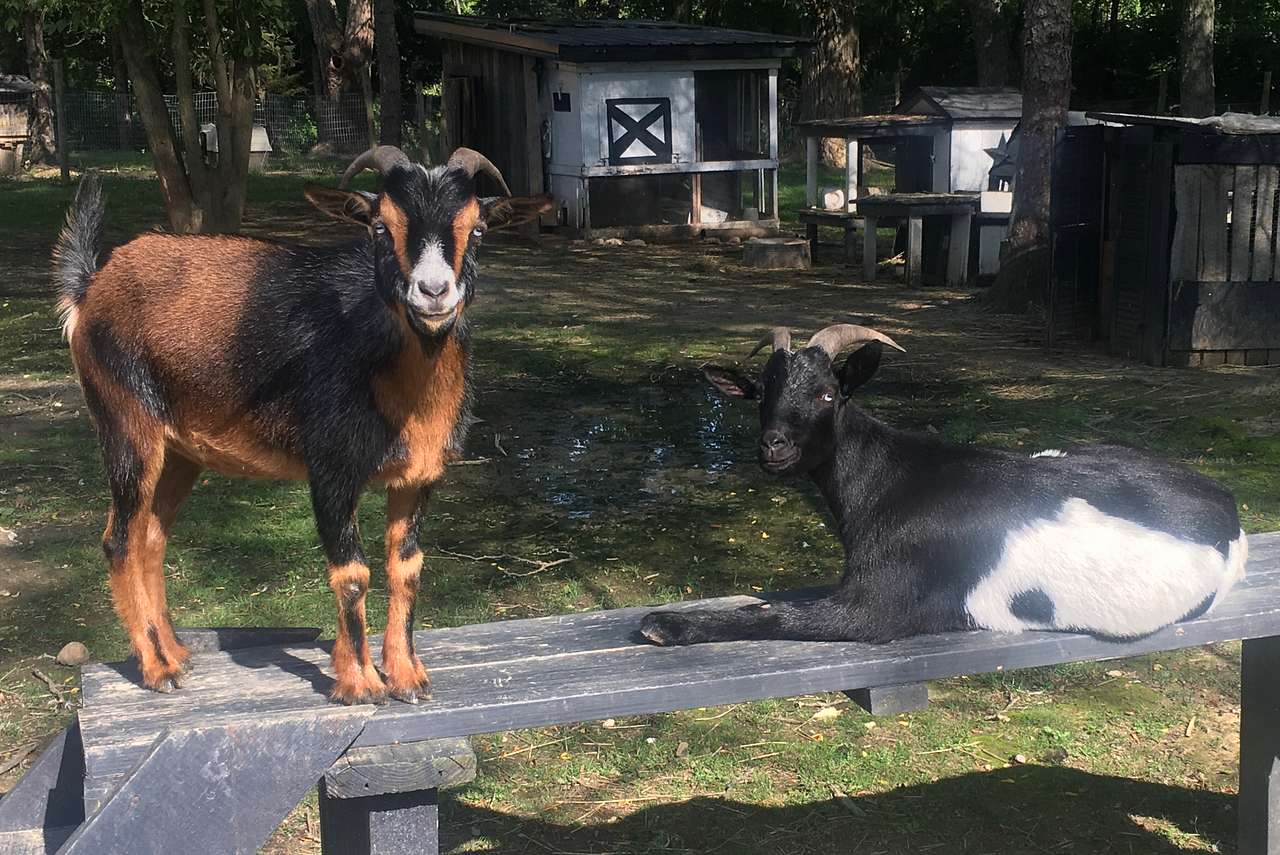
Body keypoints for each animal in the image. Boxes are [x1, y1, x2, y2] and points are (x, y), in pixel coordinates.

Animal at [54, 147, 551, 704]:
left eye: (478, 228)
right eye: (381, 226)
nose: (433, 292)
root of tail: (90, 288)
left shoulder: (419, 476)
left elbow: (407, 569)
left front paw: (406, 676)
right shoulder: (330, 467)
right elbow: (352, 573)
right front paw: (360, 683)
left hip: (179, 451)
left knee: (151, 537)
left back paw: (174, 651)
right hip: (126, 423)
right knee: (119, 539)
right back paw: (157, 669)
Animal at [640, 324, 1247, 646]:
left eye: (827, 394)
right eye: (761, 393)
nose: (774, 447)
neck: (887, 478)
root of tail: (1229, 510)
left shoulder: (877, 606)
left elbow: (774, 614)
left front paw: (664, 623)